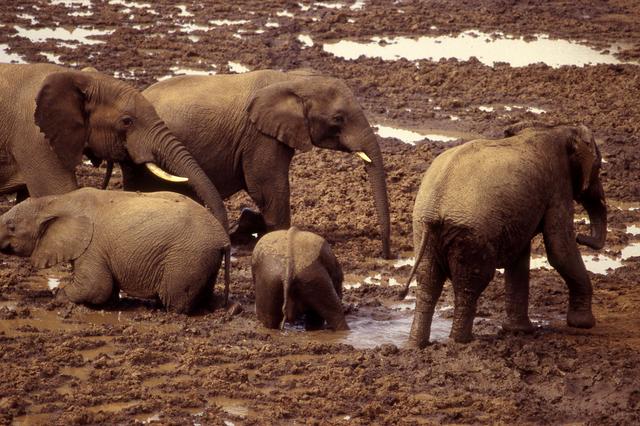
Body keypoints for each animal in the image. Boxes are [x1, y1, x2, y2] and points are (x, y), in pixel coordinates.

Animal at [0, 188, 230, 314]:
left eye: (12, 227)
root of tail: (223, 239)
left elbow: (95, 287)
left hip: (186, 258)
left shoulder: (92, 246)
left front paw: (57, 297)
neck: (54, 201)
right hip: (203, 259)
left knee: (175, 301)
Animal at [101, 68, 390, 258]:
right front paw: (277, 237)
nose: (385, 254)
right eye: (338, 119)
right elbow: (265, 186)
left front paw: (250, 225)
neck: (295, 79)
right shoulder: (259, 136)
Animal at [402, 122, 608, 346]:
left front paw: (519, 331)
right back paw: (462, 342)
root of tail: (435, 206)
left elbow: (519, 257)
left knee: (428, 281)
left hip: (422, 229)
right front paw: (583, 324)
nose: (583, 237)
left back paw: (417, 345)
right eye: (598, 166)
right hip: (471, 234)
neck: (558, 129)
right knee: (469, 283)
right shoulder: (558, 185)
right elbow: (559, 250)